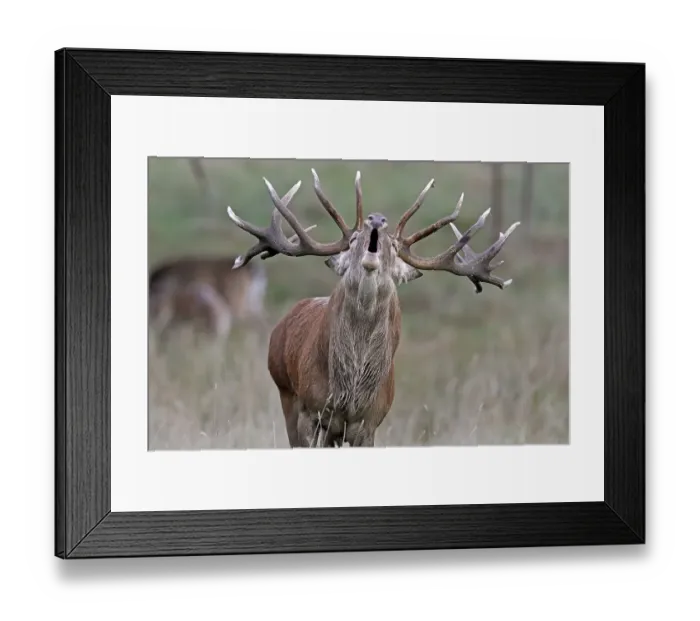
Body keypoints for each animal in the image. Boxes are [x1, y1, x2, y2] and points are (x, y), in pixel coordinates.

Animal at [226, 170, 520, 448]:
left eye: (394, 247)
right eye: (354, 239)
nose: (376, 219)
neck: (350, 395)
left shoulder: (370, 423)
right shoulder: (310, 411)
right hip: (286, 392)